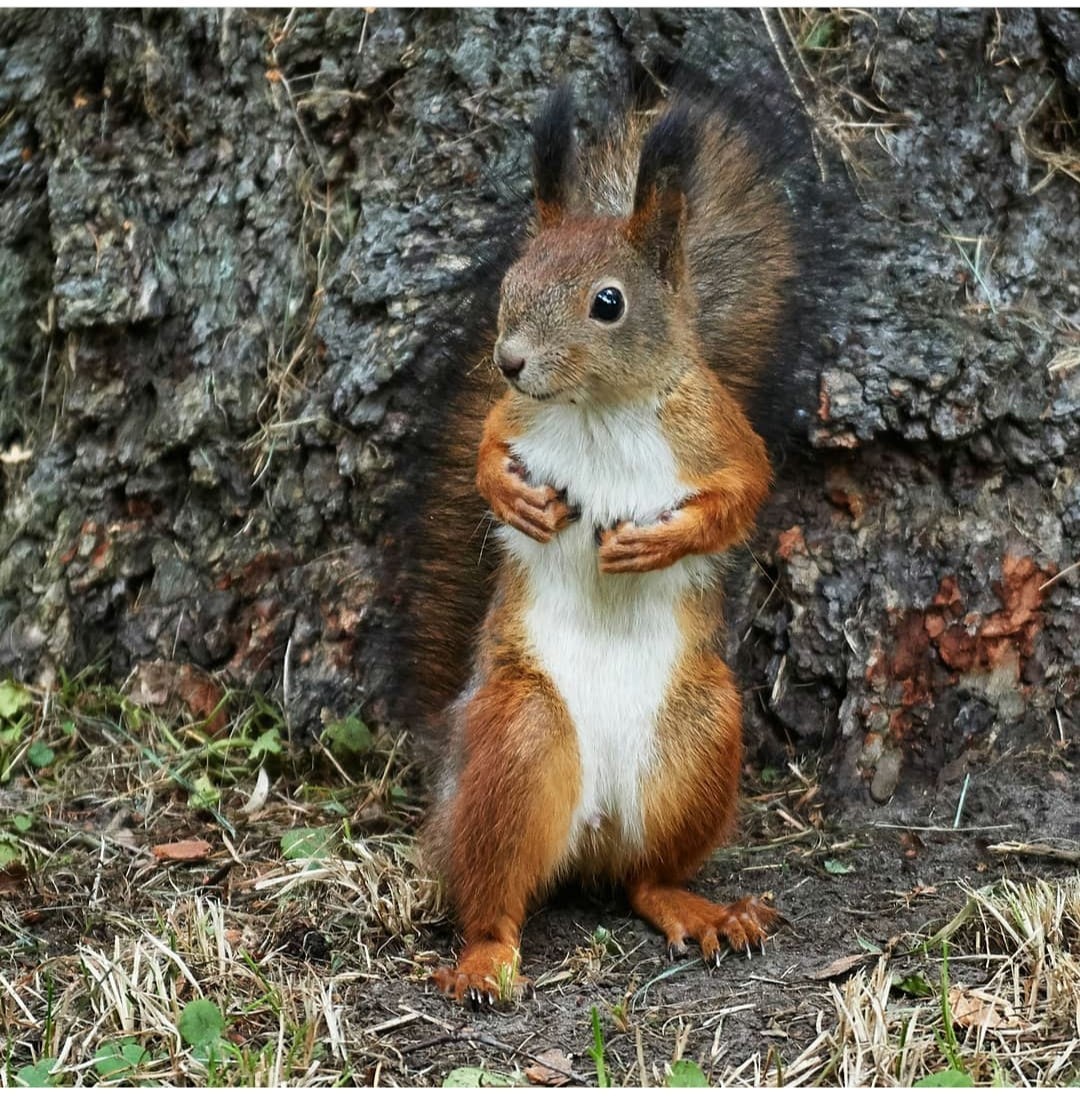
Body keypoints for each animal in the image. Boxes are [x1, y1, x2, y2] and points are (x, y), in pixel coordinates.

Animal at [408, 87, 807, 1005]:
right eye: (512, 281)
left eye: (608, 303)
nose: (510, 360)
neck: (597, 408)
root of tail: (590, 832)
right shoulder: (509, 416)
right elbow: (486, 453)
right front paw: (515, 499)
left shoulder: (720, 432)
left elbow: (745, 494)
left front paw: (655, 545)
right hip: (518, 741)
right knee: (492, 892)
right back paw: (485, 958)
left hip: (699, 736)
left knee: (644, 878)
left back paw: (697, 910)